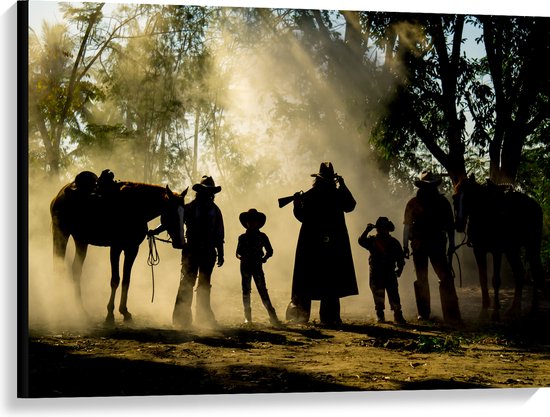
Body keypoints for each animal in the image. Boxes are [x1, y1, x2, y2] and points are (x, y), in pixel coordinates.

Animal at [50, 171, 188, 324]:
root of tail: (60, 194)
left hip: (81, 240)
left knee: (76, 270)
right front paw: (110, 314)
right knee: (58, 266)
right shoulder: (115, 248)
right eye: (172, 213)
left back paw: (81, 310)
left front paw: (125, 312)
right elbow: (115, 279)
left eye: (184, 214)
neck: (134, 209)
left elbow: (126, 280)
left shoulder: (132, 249)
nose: (181, 243)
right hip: (61, 234)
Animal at [454, 176, 544, 318]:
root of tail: (535, 205)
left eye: (470, 197)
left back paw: (533, 309)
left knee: (536, 272)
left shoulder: (497, 252)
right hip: (512, 250)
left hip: (532, 246)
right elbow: (483, 279)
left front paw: (495, 311)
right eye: (454, 198)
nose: (459, 224)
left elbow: (495, 280)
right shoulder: (479, 251)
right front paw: (484, 309)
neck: (485, 217)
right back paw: (514, 308)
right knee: (519, 273)